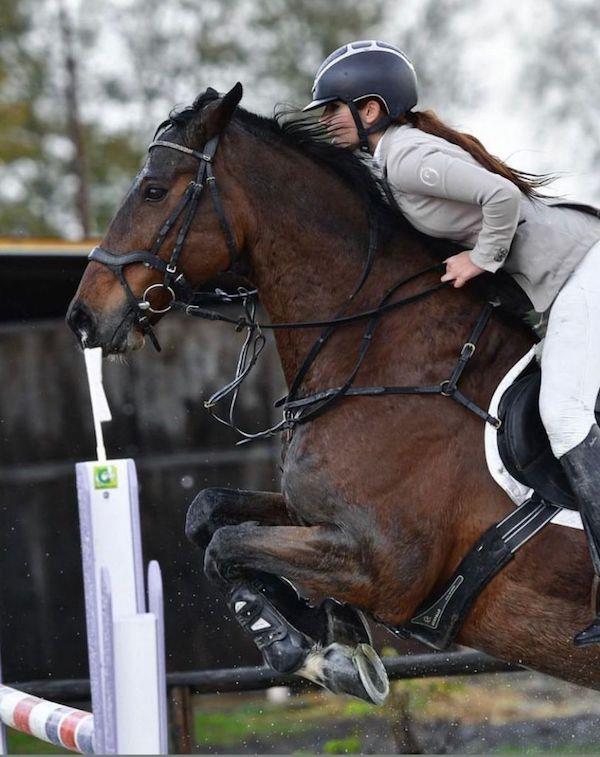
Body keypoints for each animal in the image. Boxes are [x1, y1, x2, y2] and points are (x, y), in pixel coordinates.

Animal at [67, 84, 600, 704]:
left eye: (153, 191)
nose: (83, 318)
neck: (378, 352)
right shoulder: (311, 516)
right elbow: (208, 516)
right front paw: (321, 630)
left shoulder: (380, 566)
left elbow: (227, 545)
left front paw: (301, 646)